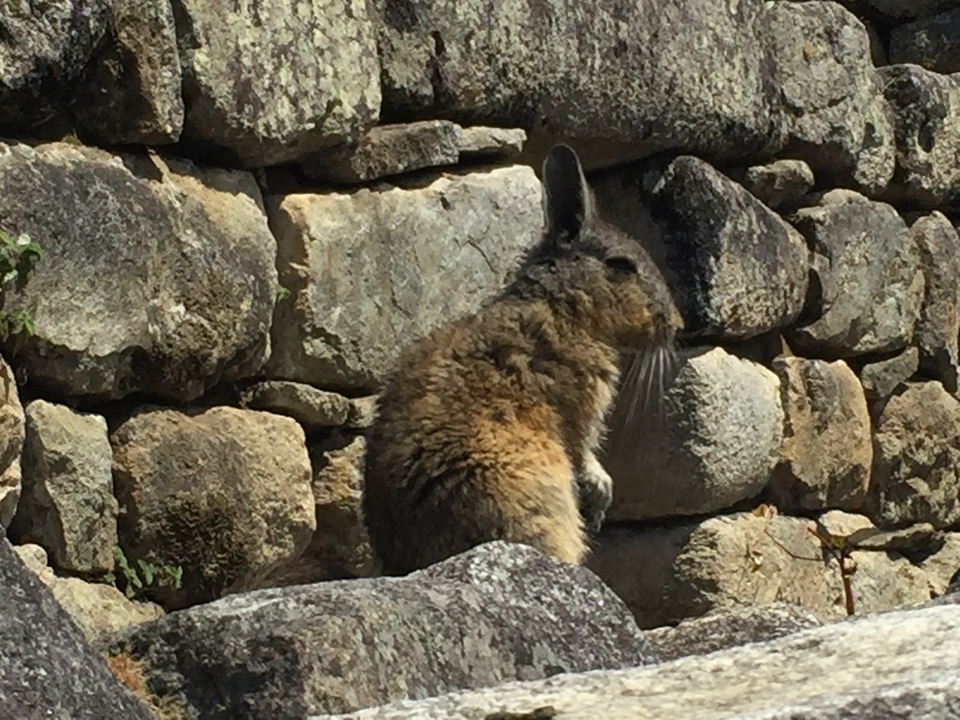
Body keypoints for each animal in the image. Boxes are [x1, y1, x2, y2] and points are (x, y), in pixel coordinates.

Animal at [362, 144, 682, 575]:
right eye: (621, 265)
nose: (677, 324)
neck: (560, 305)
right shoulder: (579, 407)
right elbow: (584, 454)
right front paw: (601, 495)